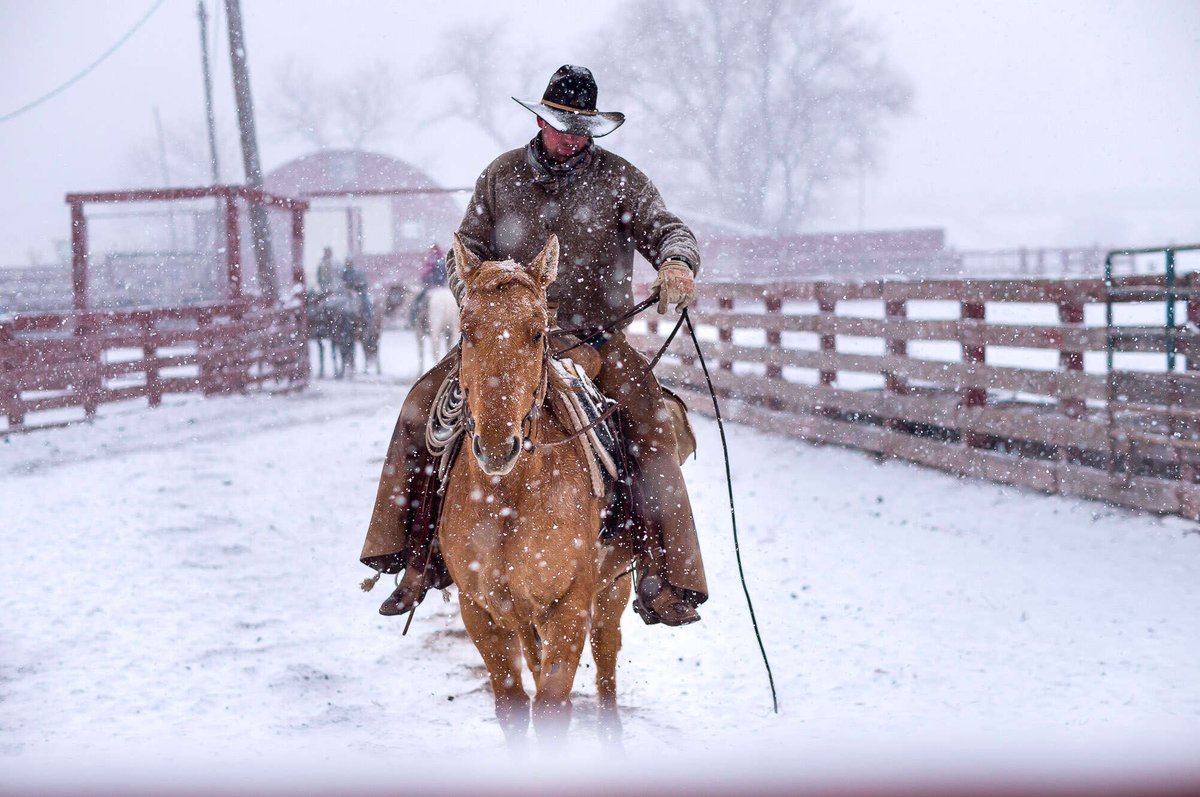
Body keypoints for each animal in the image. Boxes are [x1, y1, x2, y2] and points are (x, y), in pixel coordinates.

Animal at [438, 234, 635, 745]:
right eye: (467, 331)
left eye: (536, 333)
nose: (496, 446)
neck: (509, 500)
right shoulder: (480, 611)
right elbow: (511, 704)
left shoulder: (568, 606)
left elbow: (550, 707)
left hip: (611, 587)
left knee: (606, 654)